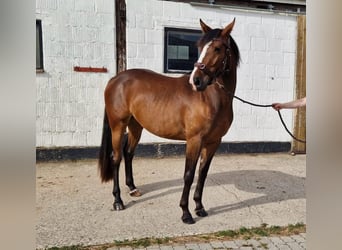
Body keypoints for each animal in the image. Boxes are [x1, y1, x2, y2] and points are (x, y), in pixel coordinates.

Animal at [97, 18, 239, 224]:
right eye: (200, 46)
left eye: (218, 48)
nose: (196, 81)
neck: (211, 99)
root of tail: (115, 79)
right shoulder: (194, 140)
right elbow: (188, 175)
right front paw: (186, 213)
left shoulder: (213, 142)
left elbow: (202, 174)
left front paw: (199, 207)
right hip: (118, 125)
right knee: (116, 158)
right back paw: (118, 201)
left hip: (136, 126)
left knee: (128, 153)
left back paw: (132, 188)